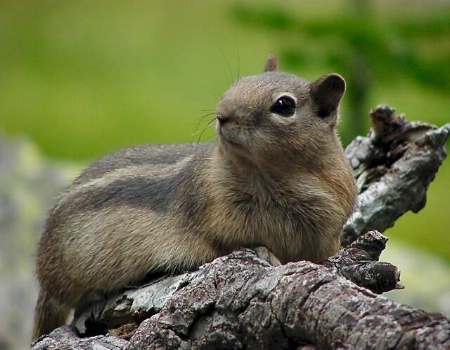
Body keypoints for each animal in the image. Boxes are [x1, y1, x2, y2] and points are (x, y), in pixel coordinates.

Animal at [30, 54, 356, 340]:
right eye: (238, 82)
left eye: (284, 105)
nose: (222, 114)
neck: (275, 175)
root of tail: (44, 273)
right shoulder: (214, 212)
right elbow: (232, 242)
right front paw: (266, 252)